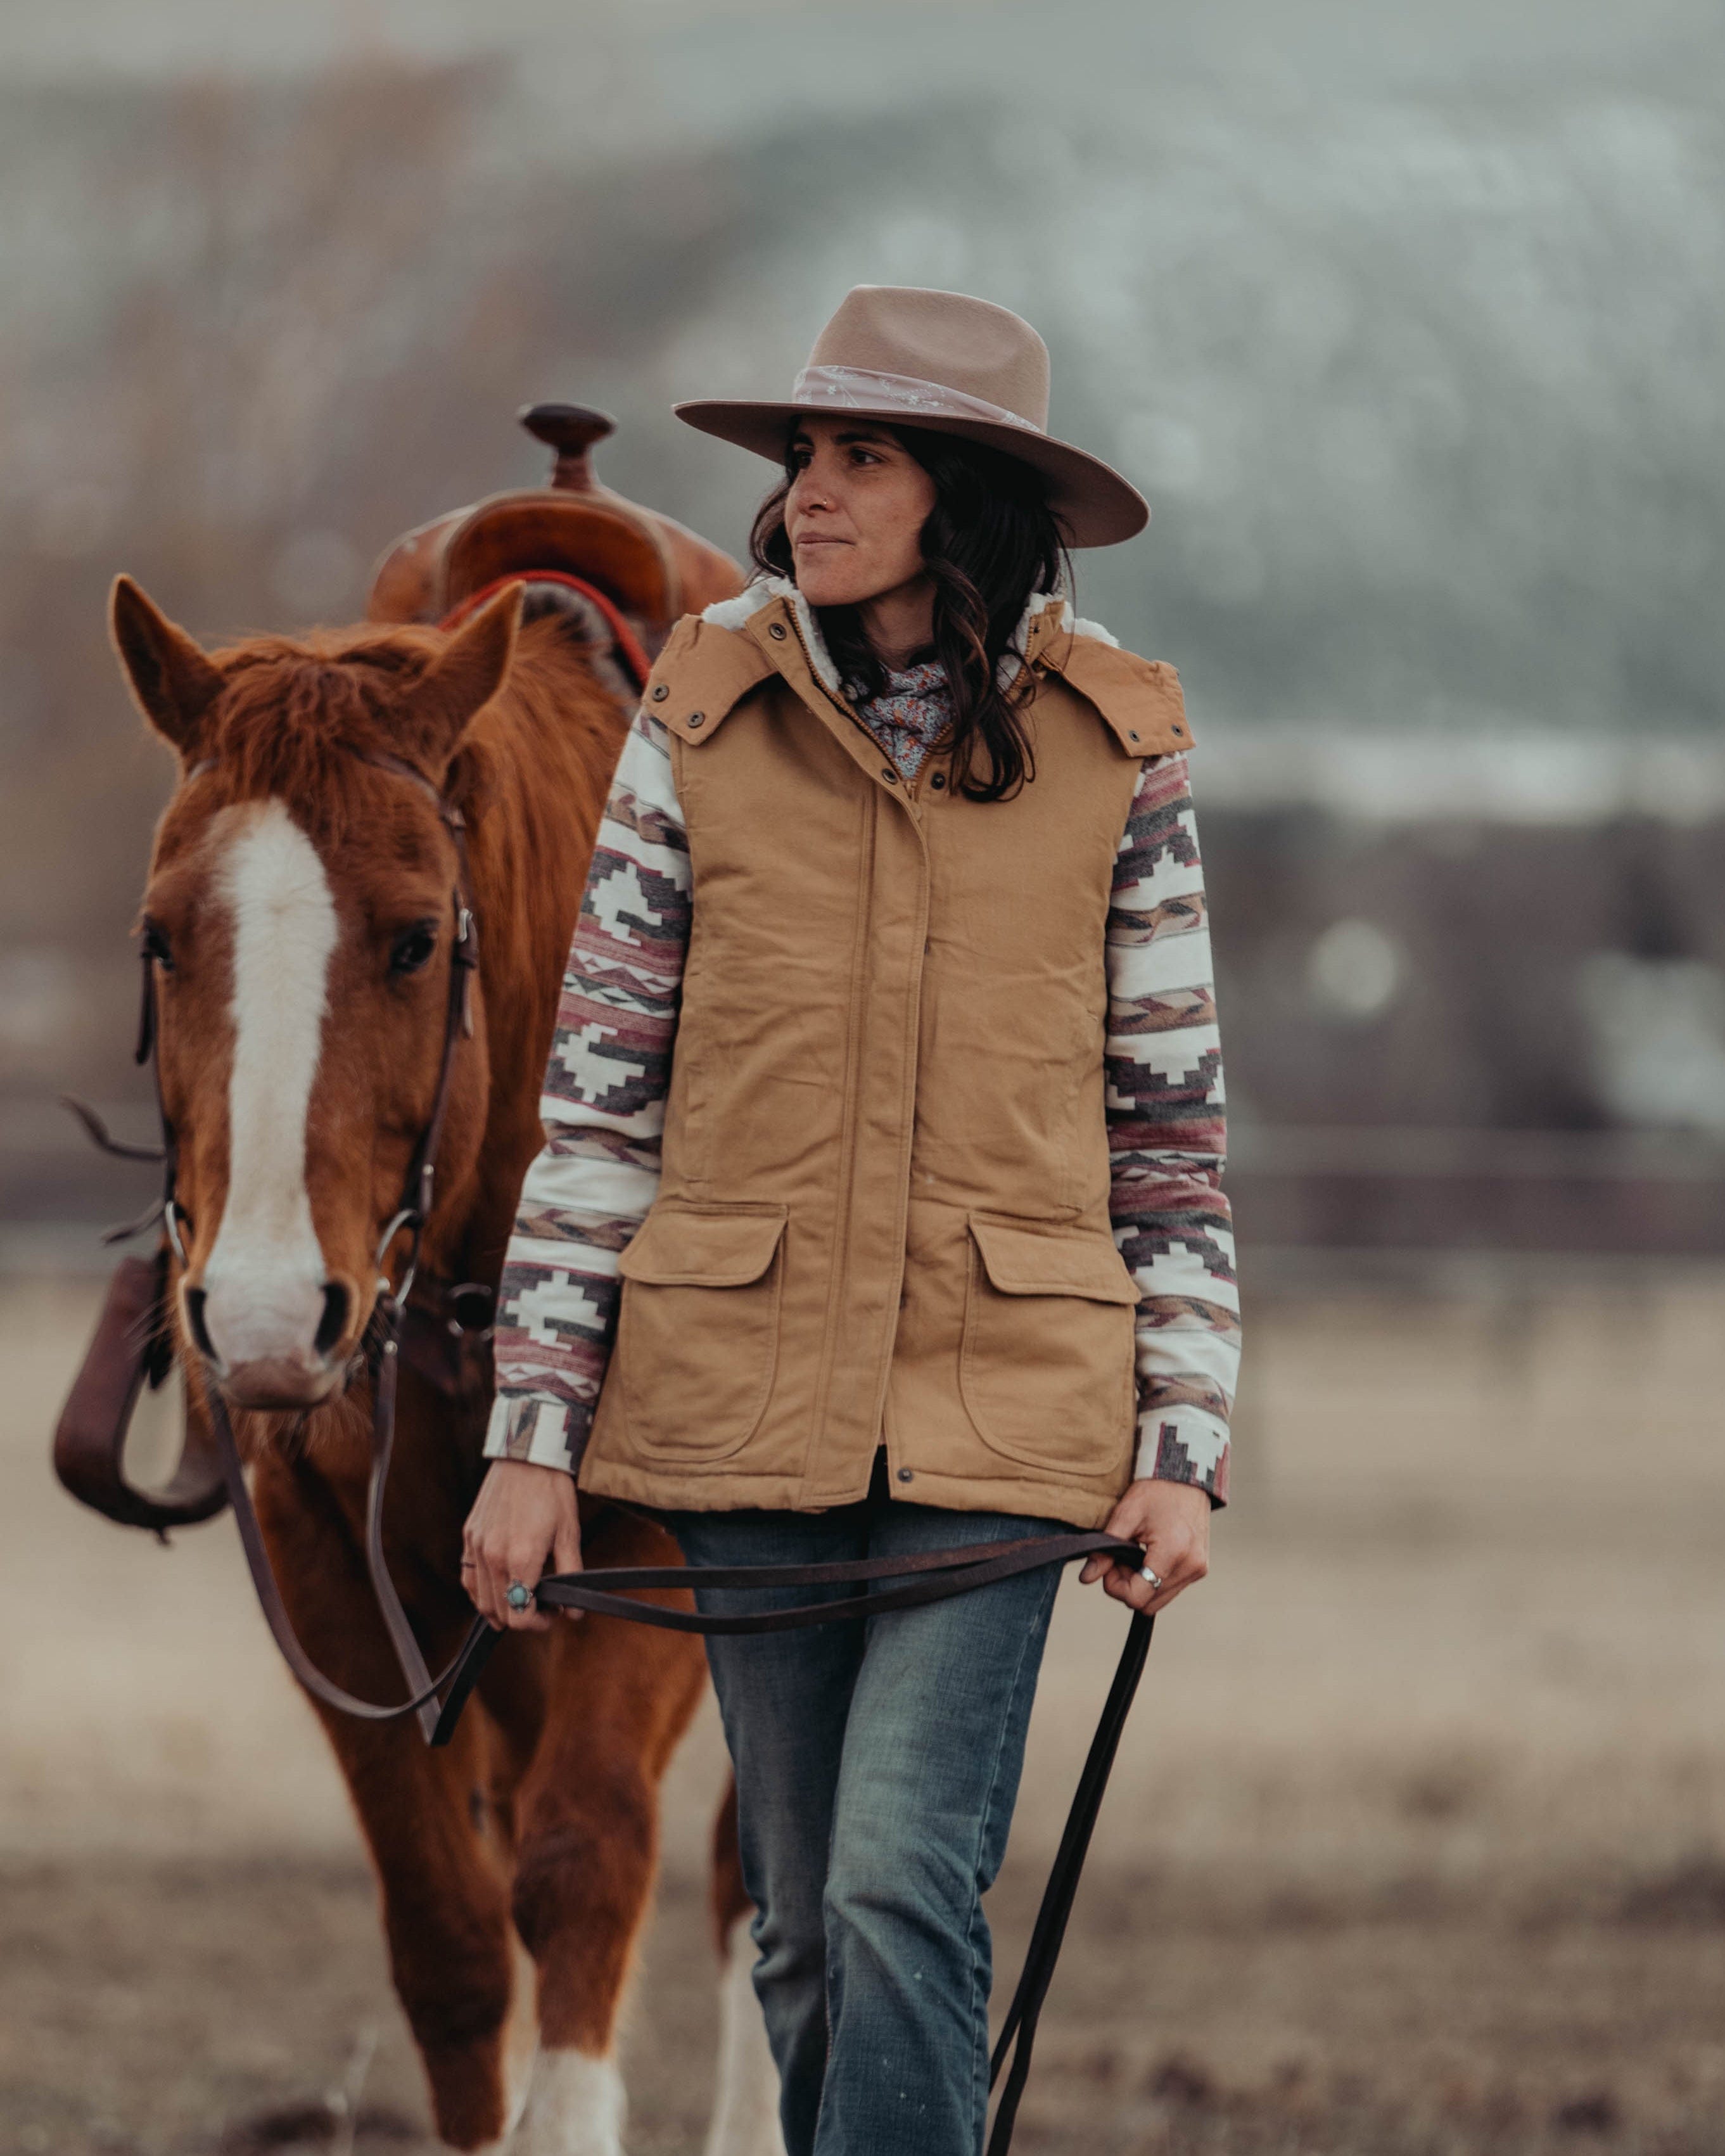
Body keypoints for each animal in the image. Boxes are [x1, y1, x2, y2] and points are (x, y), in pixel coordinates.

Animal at [105, 578, 784, 2156]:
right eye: (163, 939)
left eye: (417, 939)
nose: (269, 1315)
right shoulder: (321, 1556)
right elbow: (452, 1939)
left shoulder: (656, 1552)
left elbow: (582, 1860)